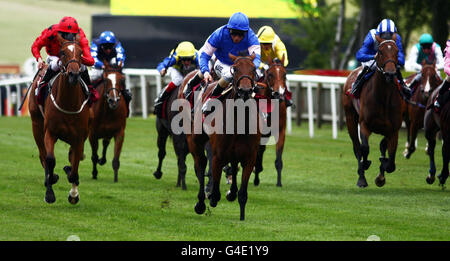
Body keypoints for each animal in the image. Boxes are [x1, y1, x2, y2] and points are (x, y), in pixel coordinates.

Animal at [28, 33, 90, 203]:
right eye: (62, 53)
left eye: (81, 53)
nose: (73, 74)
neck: (68, 103)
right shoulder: (50, 132)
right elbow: (50, 159)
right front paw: (50, 191)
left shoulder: (79, 137)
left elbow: (75, 165)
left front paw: (73, 194)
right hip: (36, 125)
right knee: (43, 155)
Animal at [181, 52, 262, 219]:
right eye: (235, 69)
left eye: (253, 69)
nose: (245, 91)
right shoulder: (218, 155)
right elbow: (215, 187)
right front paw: (211, 197)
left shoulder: (249, 157)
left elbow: (243, 194)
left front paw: (241, 216)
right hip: (195, 142)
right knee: (200, 165)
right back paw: (201, 203)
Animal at [342, 34, 402, 188]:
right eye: (380, 52)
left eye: (397, 51)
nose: (390, 74)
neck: (383, 97)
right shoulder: (364, 124)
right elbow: (364, 148)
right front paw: (365, 166)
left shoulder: (394, 130)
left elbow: (391, 161)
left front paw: (381, 175)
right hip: (350, 118)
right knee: (357, 147)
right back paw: (362, 177)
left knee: (382, 146)